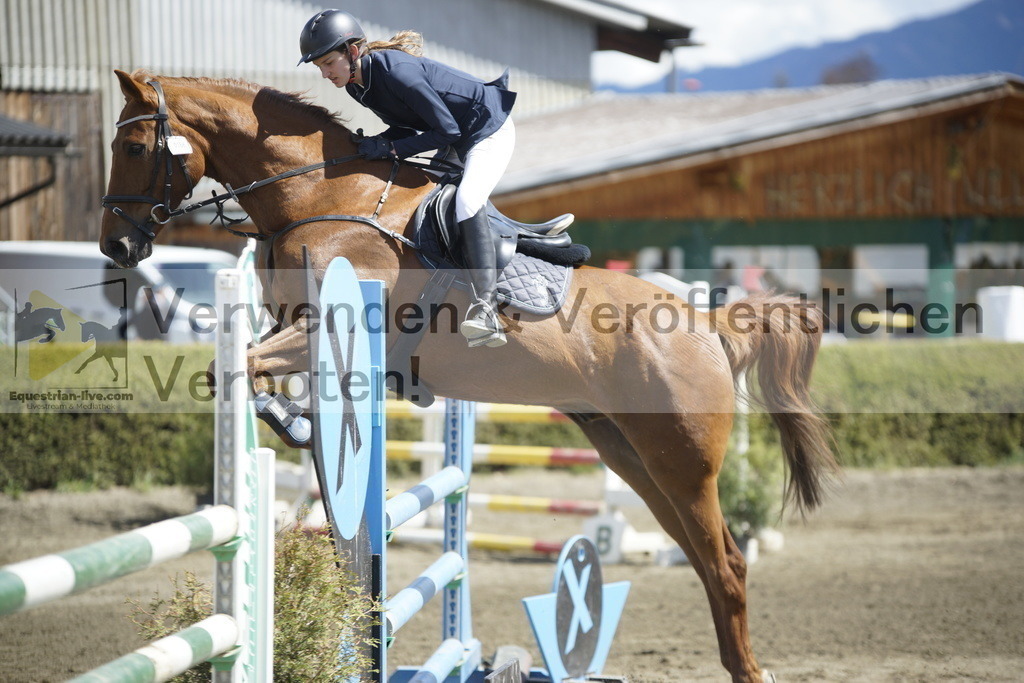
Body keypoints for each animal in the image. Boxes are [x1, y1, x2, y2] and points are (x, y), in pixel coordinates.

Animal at [99, 70, 835, 683]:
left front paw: (292, 423)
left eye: (133, 147)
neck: (319, 194)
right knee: (709, 561)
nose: (116, 246)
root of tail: (707, 323)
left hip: (680, 460)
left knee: (726, 564)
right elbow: (244, 368)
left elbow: (244, 366)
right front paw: (295, 423)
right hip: (632, 455)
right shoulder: (298, 330)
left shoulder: (327, 326)